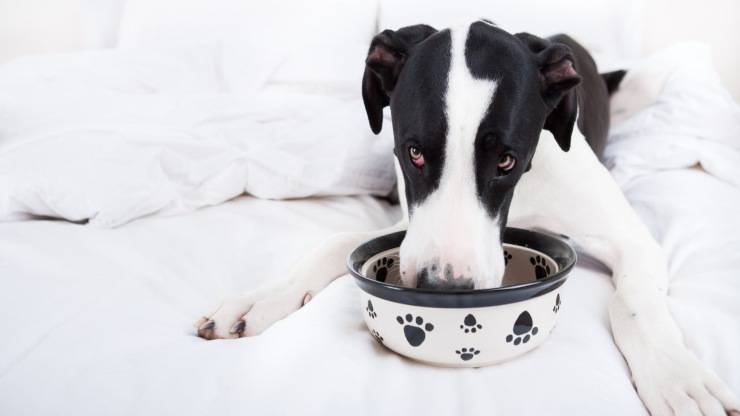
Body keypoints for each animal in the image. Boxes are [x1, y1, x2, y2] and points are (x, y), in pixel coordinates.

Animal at [196, 21, 740, 416]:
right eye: (413, 152)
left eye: (507, 160)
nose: (442, 289)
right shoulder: (409, 223)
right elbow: (335, 241)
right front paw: (262, 298)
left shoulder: (633, 240)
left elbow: (632, 305)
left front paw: (678, 375)